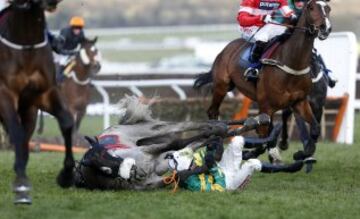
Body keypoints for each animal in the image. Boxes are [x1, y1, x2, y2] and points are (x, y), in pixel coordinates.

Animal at [0, 0, 75, 205]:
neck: (26, 42)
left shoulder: (44, 93)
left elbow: (67, 122)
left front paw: (66, 176)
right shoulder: (4, 94)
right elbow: (16, 133)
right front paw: (21, 186)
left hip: (30, 111)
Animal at [194, 0, 332, 168]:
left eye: (328, 9)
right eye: (311, 8)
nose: (325, 28)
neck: (291, 63)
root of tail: (226, 49)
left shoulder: (300, 102)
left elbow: (315, 129)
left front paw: (300, 153)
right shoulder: (266, 106)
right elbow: (262, 139)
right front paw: (249, 153)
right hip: (222, 86)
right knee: (213, 112)